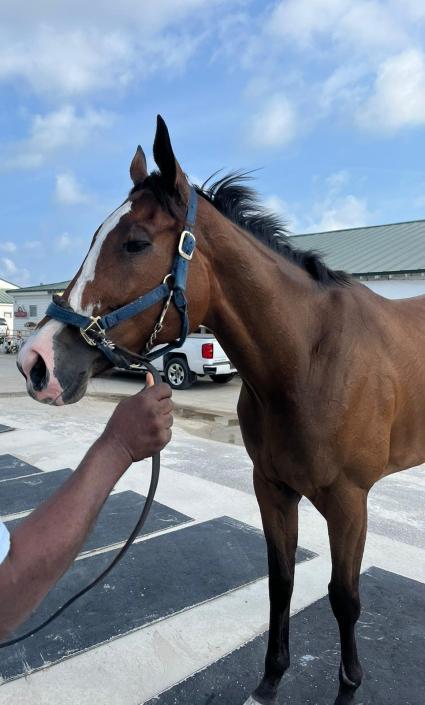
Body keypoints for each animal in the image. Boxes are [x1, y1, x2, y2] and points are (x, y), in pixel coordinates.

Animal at [18, 117, 422, 704]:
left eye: (136, 243)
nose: (35, 362)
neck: (309, 360)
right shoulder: (271, 489)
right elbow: (281, 583)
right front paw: (269, 682)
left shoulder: (350, 504)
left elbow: (344, 599)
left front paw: (347, 689)